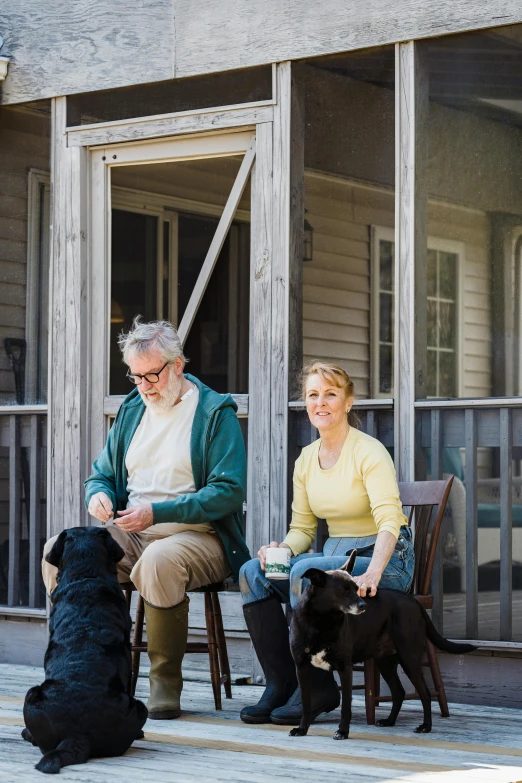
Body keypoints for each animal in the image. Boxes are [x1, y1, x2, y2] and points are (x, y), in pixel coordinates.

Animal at [286, 552, 474, 740]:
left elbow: (346, 706)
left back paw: (425, 726)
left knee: (425, 694)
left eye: (356, 588)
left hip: (409, 658)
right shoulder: (301, 667)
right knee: (399, 692)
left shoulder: (344, 667)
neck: (321, 622)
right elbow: (306, 704)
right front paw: (302, 729)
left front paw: (342, 731)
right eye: (343, 590)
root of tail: (414, 601)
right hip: (385, 662)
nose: (364, 605)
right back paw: (390, 721)